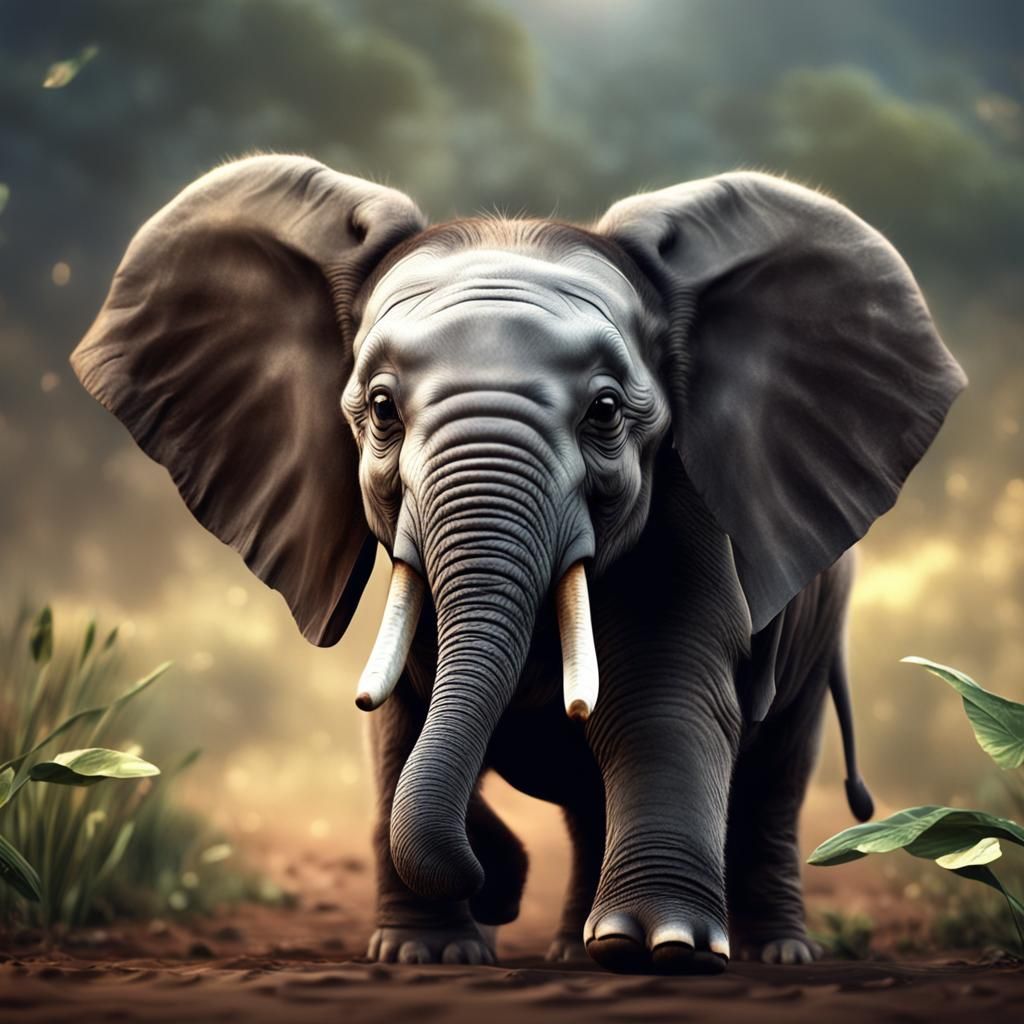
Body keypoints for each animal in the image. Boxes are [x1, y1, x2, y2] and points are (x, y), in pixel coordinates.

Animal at [71, 155, 965, 974]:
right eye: (382, 409)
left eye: (605, 412)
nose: (499, 884)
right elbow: (399, 720)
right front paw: (427, 953)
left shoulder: (686, 514)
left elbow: (663, 697)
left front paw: (666, 949)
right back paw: (576, 948)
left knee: (773, 779)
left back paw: (772, 954)